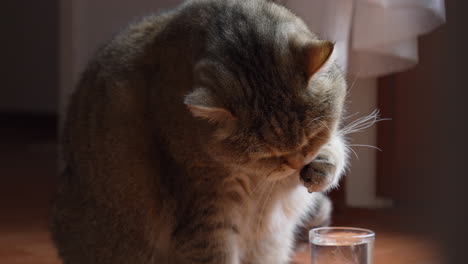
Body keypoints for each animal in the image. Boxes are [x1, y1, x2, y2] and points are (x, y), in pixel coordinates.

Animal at [51, 1, 348, 262]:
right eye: (267, 156)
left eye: (313, 136)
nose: (298, 162)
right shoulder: (207, 212)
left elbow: (336, 148)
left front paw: (322, 165)